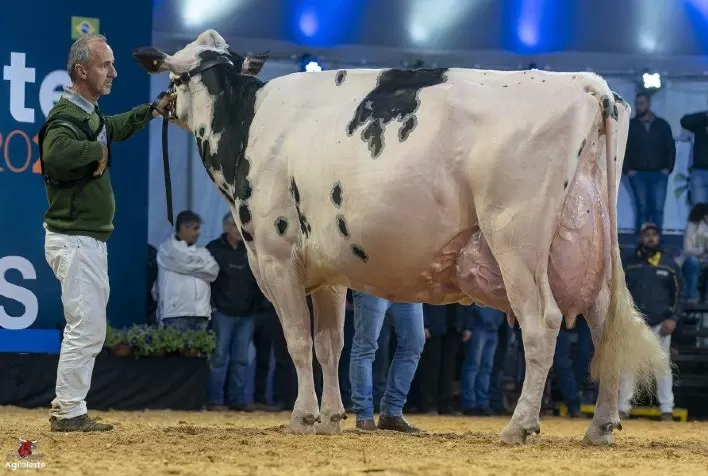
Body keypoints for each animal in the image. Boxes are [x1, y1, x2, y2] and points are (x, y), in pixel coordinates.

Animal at [133, 29, 670, 445]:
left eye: (174, 77)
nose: (158, 105)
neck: (250, 125)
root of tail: (587, 83)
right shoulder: (328, 272)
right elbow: (330, 344)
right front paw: (331, 418)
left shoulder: (275, 255)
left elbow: (298, 341)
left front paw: (303, 417)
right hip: (589, 244)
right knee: (602, 324)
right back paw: (600, 427)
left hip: (516, 238)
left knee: (543, 324)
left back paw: (519, 426)